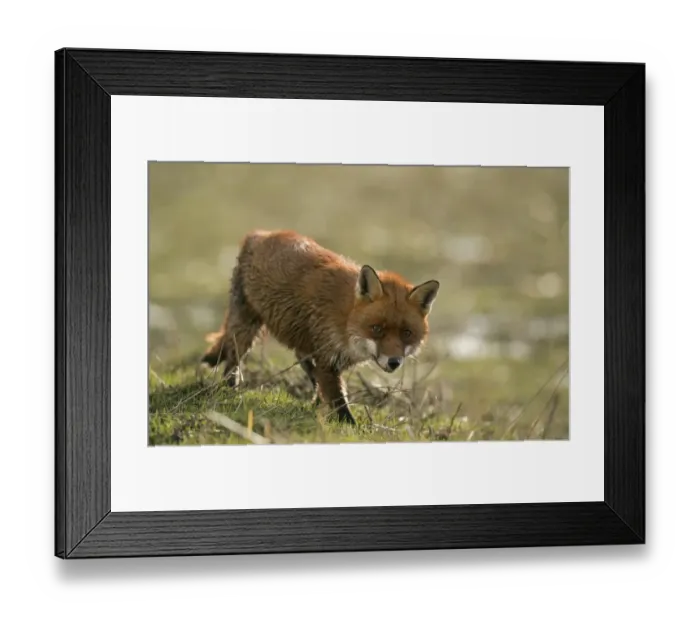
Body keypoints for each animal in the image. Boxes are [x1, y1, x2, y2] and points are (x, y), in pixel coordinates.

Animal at [200, 230, 440, 426]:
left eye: (407, 333)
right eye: (377, 329)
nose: (394, 362)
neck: (345, 319)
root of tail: (259, 234)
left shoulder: (331, 357)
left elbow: (327, 388)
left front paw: (320, 405)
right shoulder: (328, 358)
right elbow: (339, 400)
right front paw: (350, 425)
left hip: (299, 337)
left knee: (302, 360)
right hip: (246, 328)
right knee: (233, 357)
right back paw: (231, 387)